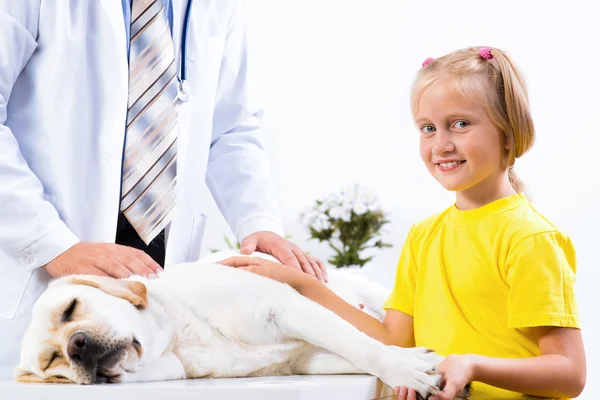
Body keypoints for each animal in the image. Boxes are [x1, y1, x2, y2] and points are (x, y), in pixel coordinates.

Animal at [14, 252, 472, 398]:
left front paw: (408, 369)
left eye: (71, 309)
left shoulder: (284, 307)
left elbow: (366, 347)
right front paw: (414, 365)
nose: (77, 346)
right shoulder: (304, 361)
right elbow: (358, 352)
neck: (182, 336)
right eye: (53, 362)